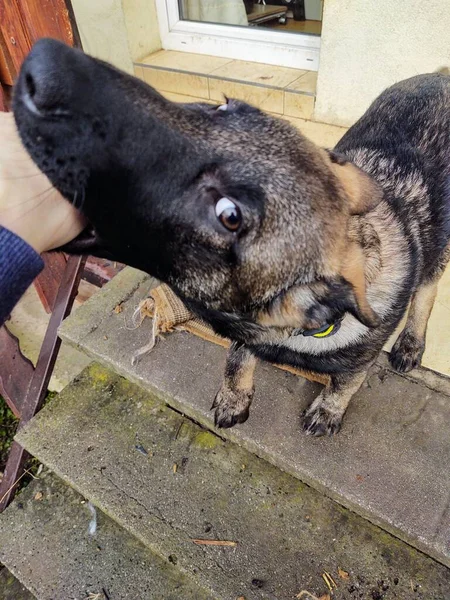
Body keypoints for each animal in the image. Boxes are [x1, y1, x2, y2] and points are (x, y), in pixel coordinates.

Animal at [13, 41, 450, 436]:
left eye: (230, 214)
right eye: (221, 107)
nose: (46, 62)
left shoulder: (359, 358)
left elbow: (345, 383)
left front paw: (327, 411)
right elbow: (237, 359)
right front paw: (233, 399)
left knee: (427, 290)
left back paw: (411, 344)